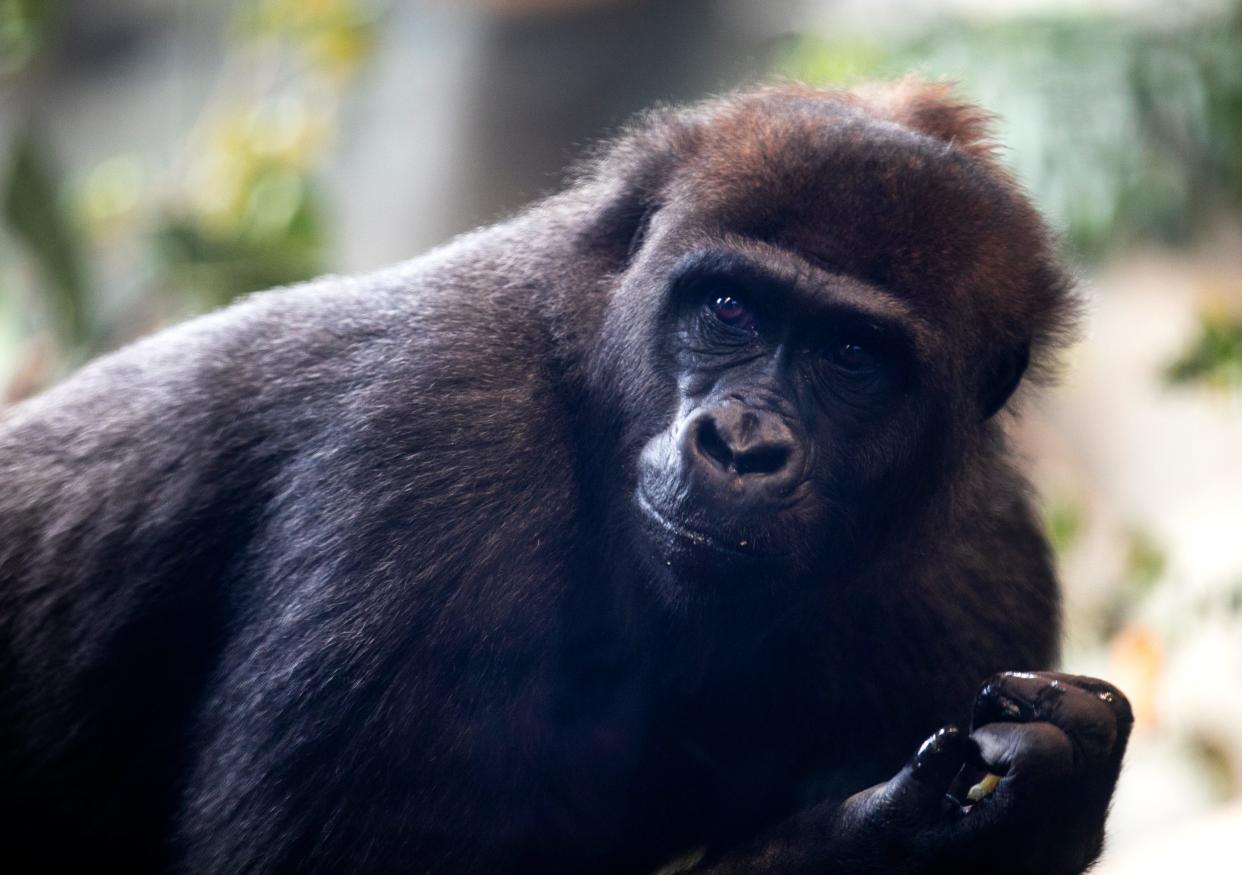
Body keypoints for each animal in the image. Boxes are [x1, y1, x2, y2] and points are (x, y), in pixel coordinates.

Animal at [0, 78, 1127, 868]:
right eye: (730, 309)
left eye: (854, 356)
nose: (742, 442)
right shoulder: (435, 443)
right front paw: (890, 831)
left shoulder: (981, 567)